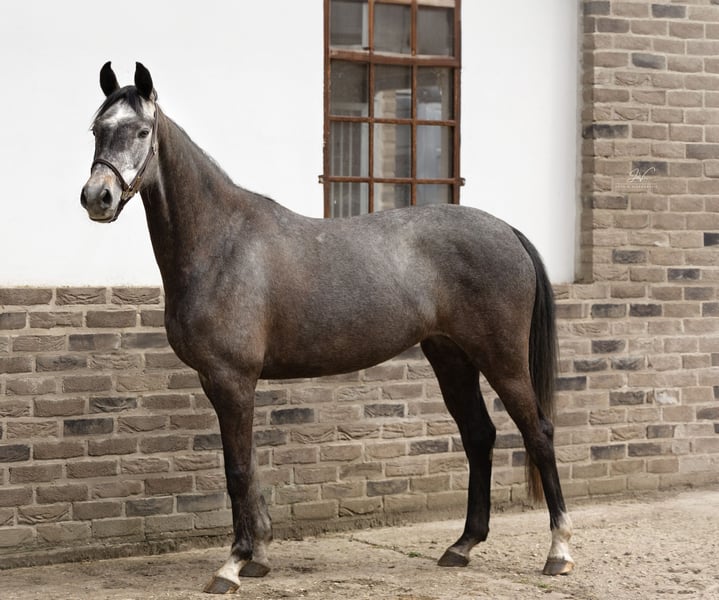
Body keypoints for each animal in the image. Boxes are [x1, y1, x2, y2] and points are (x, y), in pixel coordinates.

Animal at [80, 62, 574, 594]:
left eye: (141, 131)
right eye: (97, 129)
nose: (97, 197)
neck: (221, 243)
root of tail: (508, 231)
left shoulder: (231, 379)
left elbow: (237, 470)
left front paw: (232, 565)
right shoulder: (225, 383)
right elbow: (249, 466)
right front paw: (259, 556)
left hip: (501, 359)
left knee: (538, 432)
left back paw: (559, 552)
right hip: (451, 356)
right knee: (479, 435)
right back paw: (462, 545)